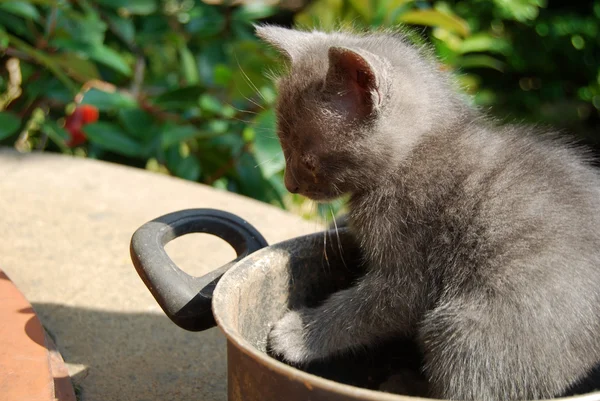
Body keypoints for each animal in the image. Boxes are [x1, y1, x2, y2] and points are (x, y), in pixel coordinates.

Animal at [255, 25, 600, 400]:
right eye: (281, 144)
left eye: (308, 161)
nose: (289, 185)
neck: (415, 151)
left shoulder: (413, 264)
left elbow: (363, 309)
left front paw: (299, 335)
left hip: (466, 327)